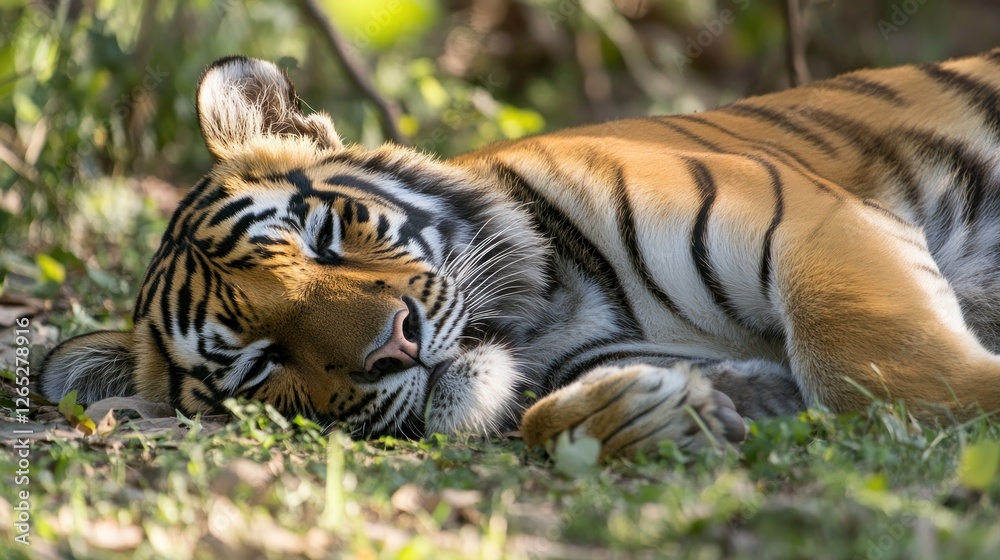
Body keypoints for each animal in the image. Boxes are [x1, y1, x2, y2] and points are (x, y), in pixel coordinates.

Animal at [38, 51, 1000, 459]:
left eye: (325, 239)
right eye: (260, 362)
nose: (393, 347)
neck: (551, 319)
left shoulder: (812, 222)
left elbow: (875, 365)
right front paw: (645, 416)